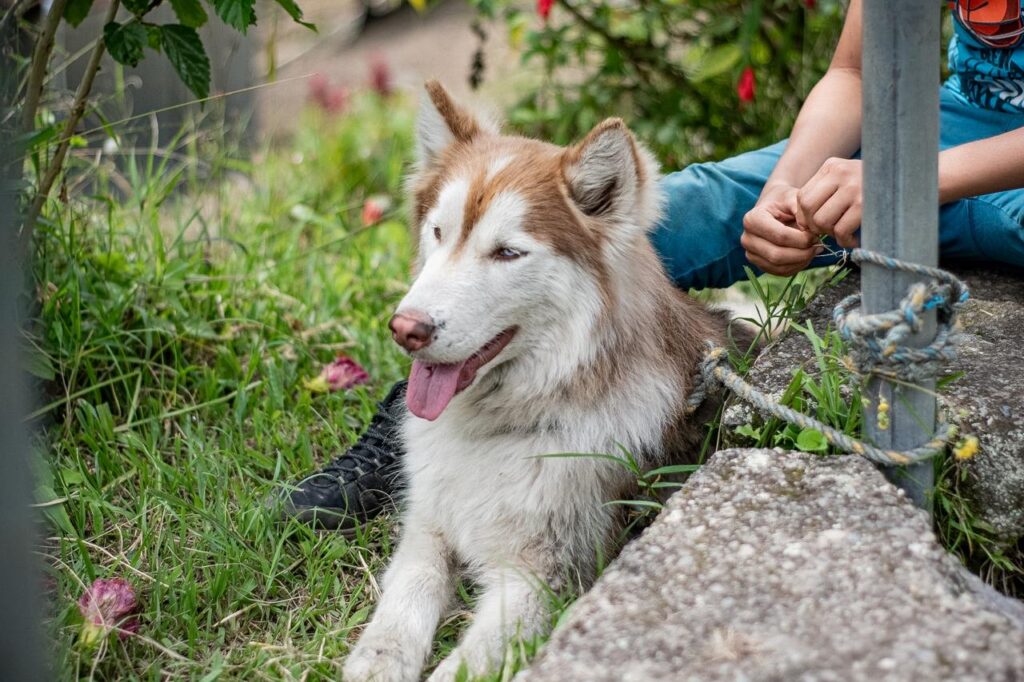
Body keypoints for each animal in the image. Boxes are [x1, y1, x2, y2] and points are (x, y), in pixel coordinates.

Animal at [344, 82, 745, 675]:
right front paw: (379, 659)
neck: (496, 430)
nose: (406, 328)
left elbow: (464, 666)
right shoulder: (428, 525)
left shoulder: (546, 576)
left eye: (508, 252)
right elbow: (407, 593)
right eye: (438, 232)